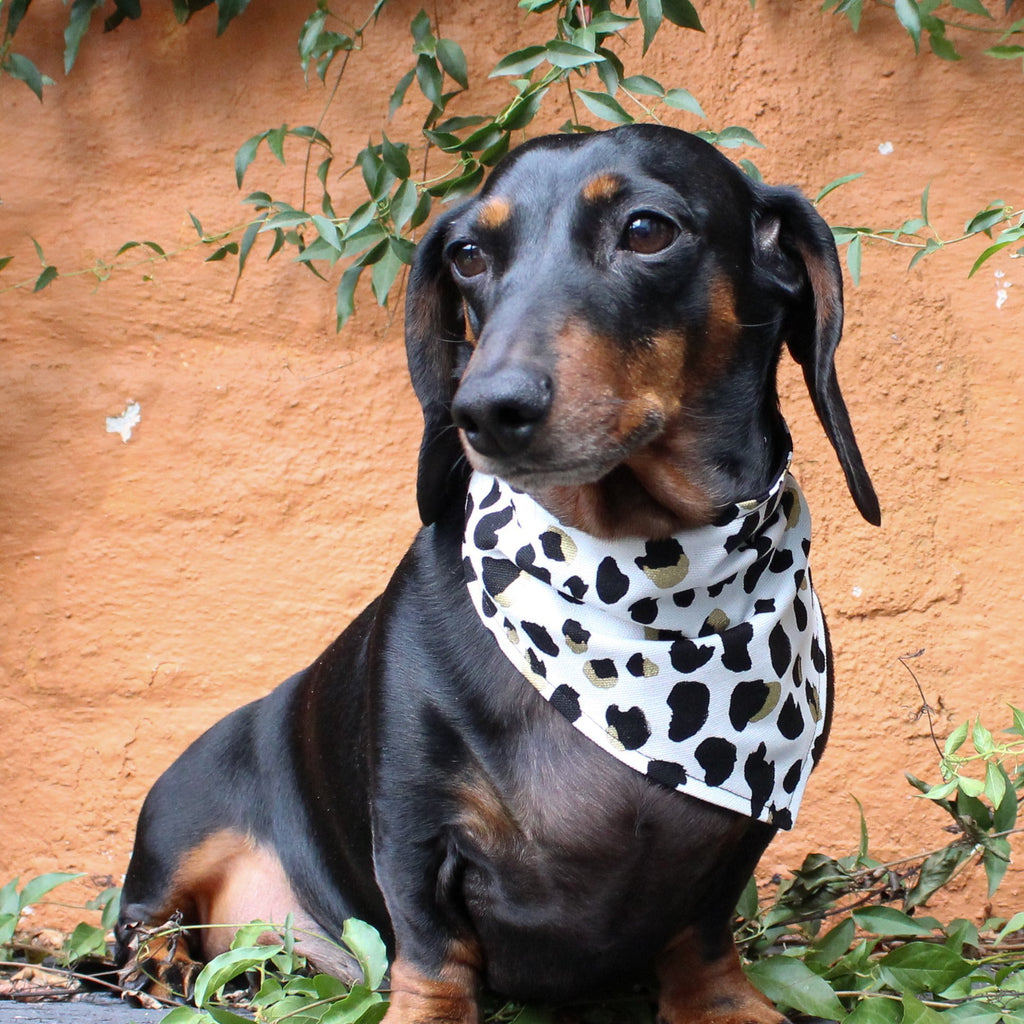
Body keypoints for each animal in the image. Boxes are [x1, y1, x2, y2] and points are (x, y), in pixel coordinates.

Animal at [114, 125, 880, 1024]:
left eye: (648, 230)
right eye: (470, 255)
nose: (484, 409)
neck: (639, 583)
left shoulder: (733, 846)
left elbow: (701, 933)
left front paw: (722, 1003)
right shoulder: (412, 819)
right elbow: (432, 945)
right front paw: (428, 1011)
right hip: (178, 825)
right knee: (140, 921)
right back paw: (155, 968)